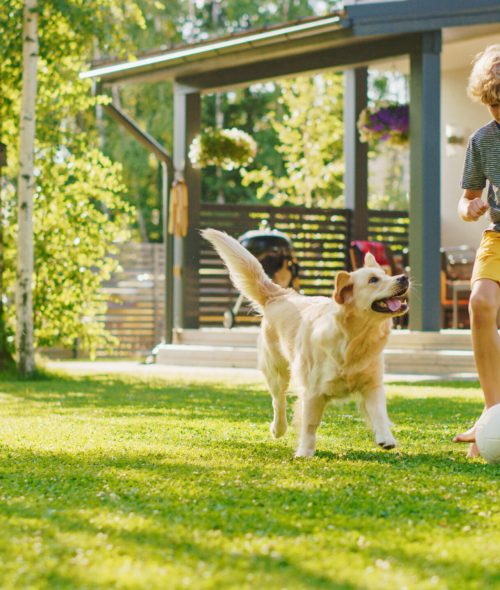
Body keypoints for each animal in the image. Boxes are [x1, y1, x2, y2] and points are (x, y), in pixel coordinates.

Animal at [201, 229, 408, 460]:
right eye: (373, 280)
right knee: (278, 401)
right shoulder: (313, 391)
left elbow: (379, 413)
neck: (354, 339)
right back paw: (278, 429)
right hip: (277, 371)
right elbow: (309, 425)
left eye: (386, 275)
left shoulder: (372, 384)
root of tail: (280, 295)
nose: (403, 277)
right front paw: (305, 452)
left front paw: (386, 438)